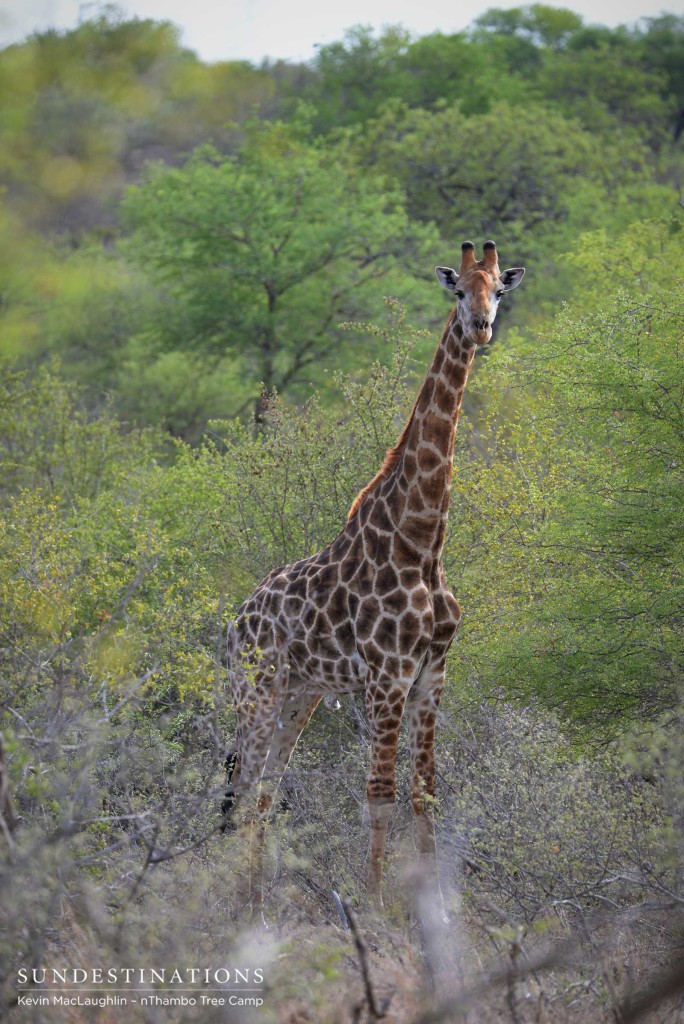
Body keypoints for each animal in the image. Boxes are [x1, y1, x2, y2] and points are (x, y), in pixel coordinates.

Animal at [224, 239, 524, 905]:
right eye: (458, 290)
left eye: (498, 290)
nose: (480, 327)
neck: (423, 542)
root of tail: (234, 623)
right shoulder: (388, 677)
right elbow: (379, 795)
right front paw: (378, 902)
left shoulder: (433, 673)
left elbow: (424, 794)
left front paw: (434, 906)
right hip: (256, 690)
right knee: (240, 789)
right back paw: (230, 900)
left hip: (300, 695)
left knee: (264, 791)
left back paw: (256, 901)